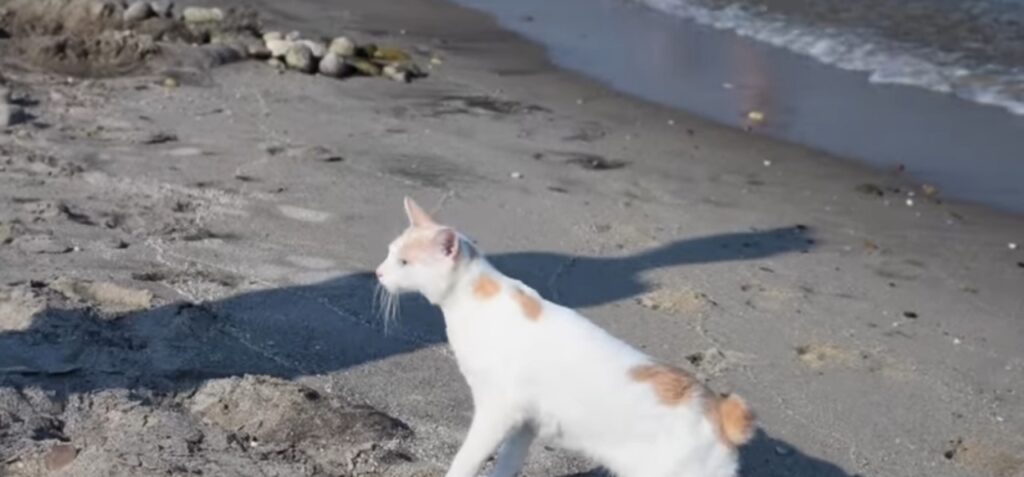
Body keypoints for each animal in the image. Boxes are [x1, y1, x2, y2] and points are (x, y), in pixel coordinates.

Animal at [374, 197, 753, 476]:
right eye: (390, 252)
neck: (473, 301)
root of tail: (721, 411)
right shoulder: (524, 424)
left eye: (404, 263)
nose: (378, 272)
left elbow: (465, 460)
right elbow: (506, 465)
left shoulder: (497, 412)